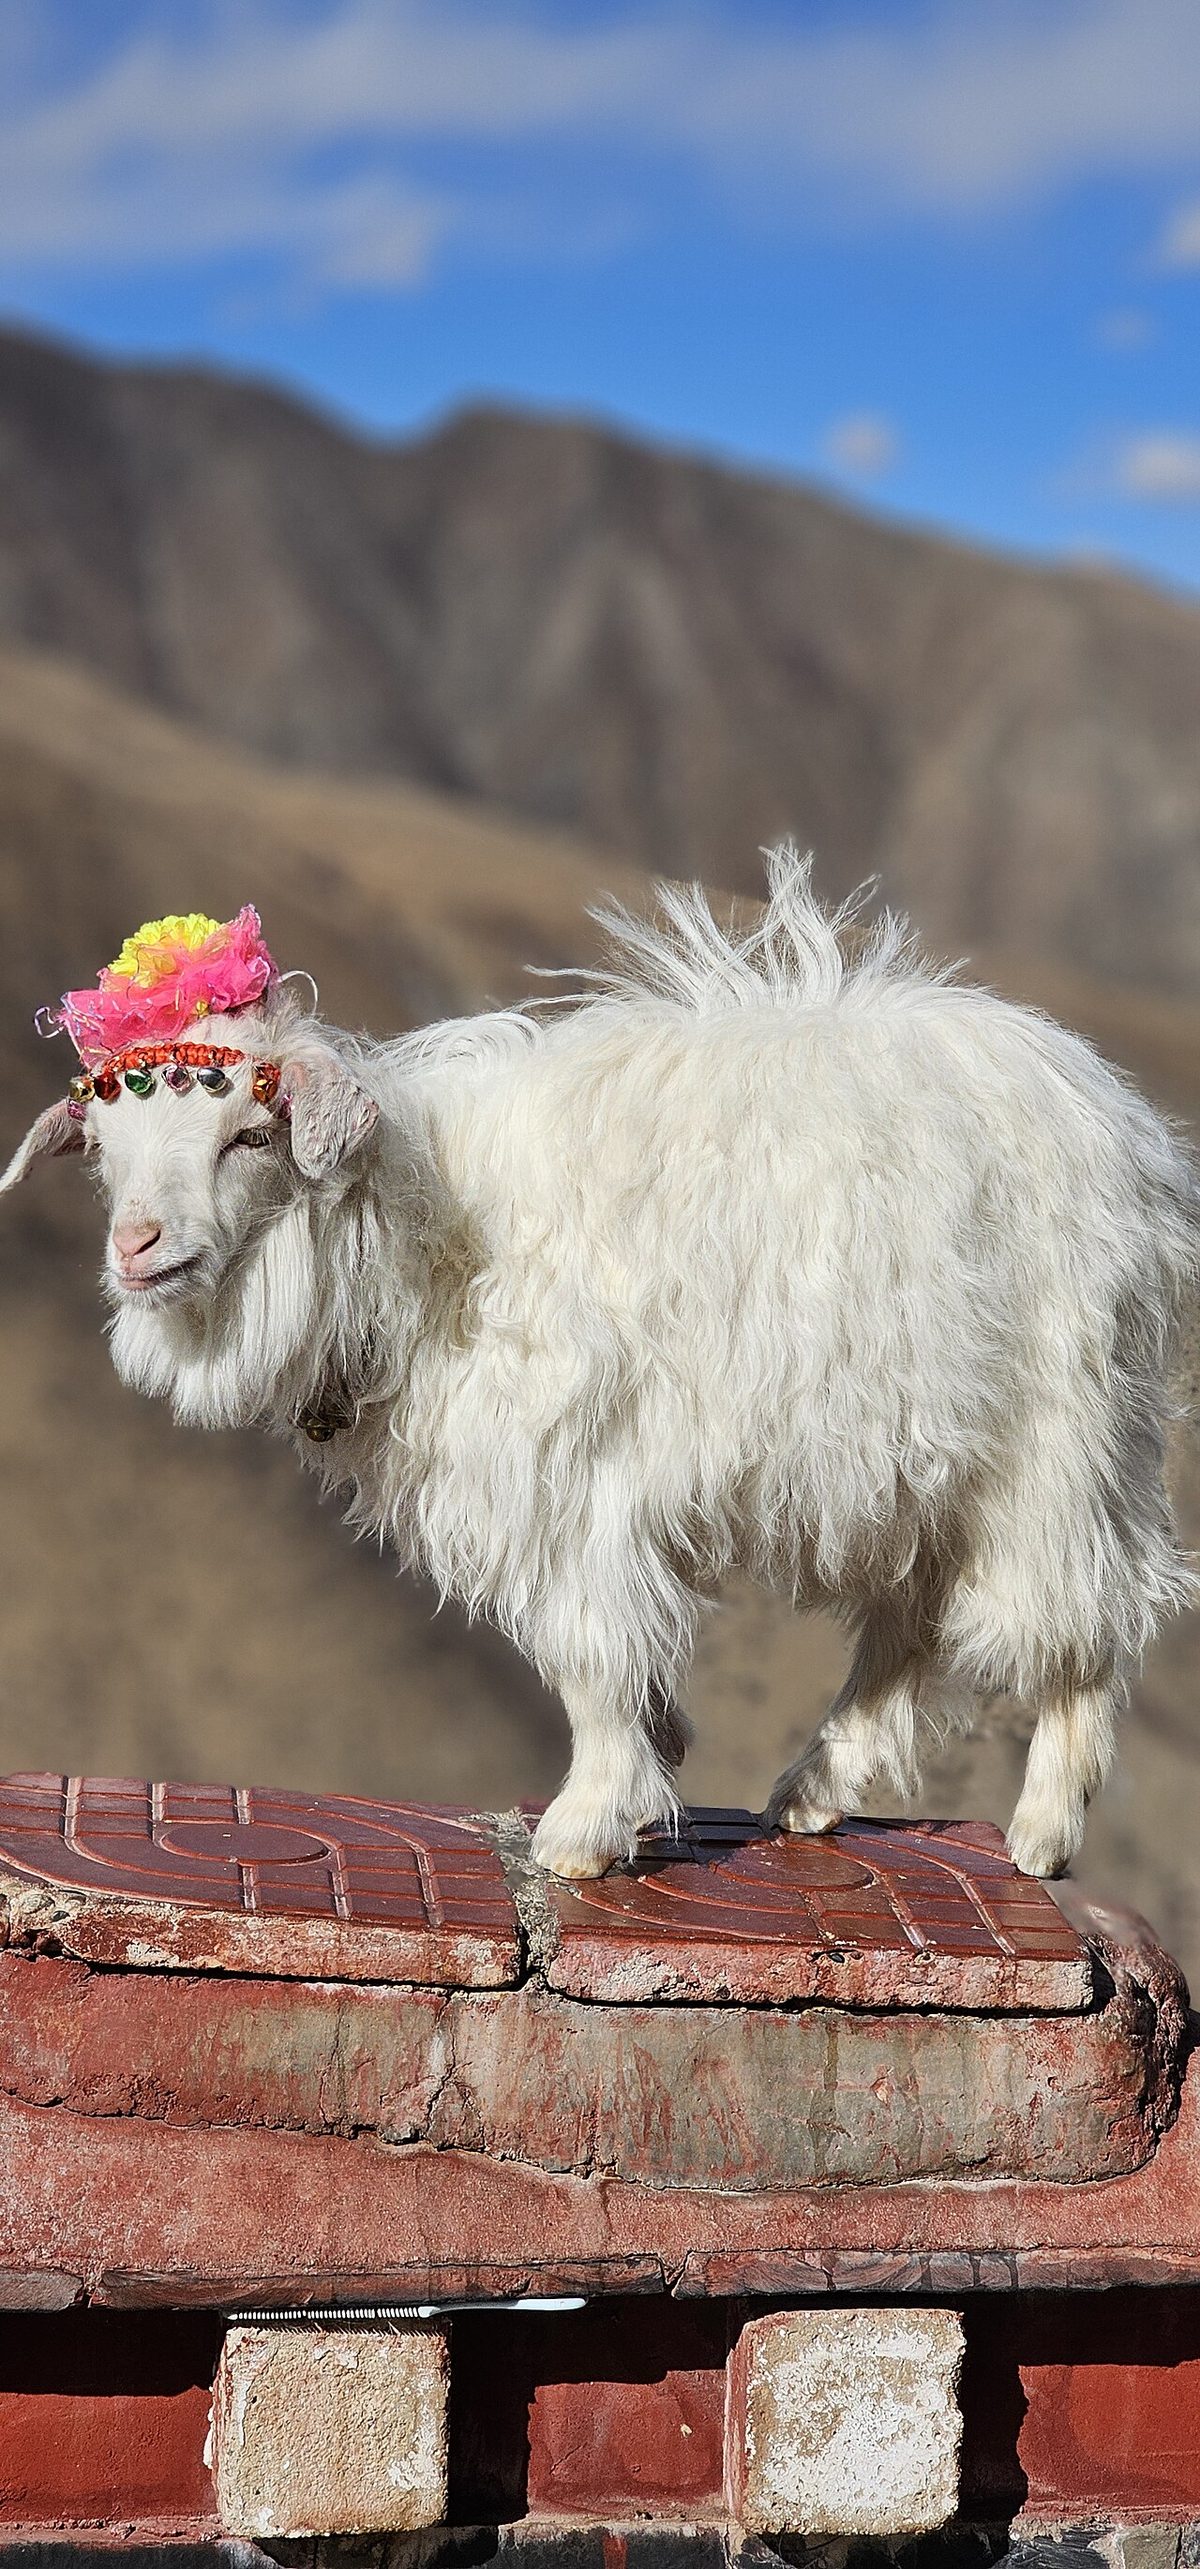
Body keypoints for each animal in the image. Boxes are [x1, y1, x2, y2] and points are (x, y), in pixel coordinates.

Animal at [4, 856, 1196, 1879]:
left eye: (250, 1136)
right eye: (104, 1150)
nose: (138, 1248)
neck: (421, 1237)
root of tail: (1123, 1127)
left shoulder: (568, 1480)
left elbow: (590, 1654)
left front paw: (582, 1827)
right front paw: (643, 1784)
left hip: (1057, 1439)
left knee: (1085, 1622)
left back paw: (1042, 1831)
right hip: (914, 1453)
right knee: (911, 1620)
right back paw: (815, 1789)